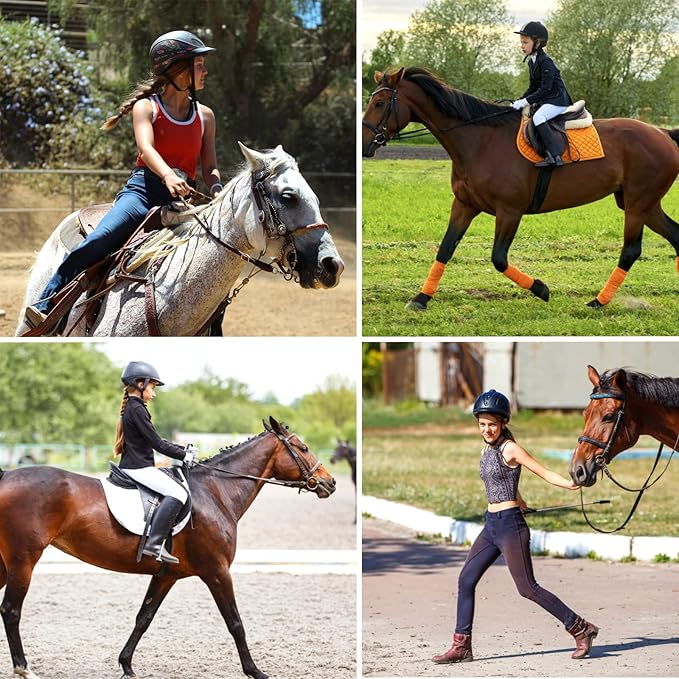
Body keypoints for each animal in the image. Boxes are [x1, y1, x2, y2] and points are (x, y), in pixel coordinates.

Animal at [0, 417, 336, 679]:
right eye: (303, 448)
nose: (329, 483)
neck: (215, 492)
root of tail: (7, 476)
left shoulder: (166, 575)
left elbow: (144, 617)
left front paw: (126, 666)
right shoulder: (217, 571)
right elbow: (235, 623)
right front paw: (255, 671)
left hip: (6, 563)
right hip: (23, 561)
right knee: (11, 610)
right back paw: (24, 668)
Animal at [362, 67, 679, 309]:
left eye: (379, 104)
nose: (365, 146)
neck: (479, 142)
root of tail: (663, 133)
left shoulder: (509, 212)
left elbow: (498, 259)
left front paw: (541, 288)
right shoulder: (464, 205)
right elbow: (445, 249)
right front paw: (421, 298)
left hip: (637, 205)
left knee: (631, 250)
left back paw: (598, 302)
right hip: (642, 204)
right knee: (675, 236)